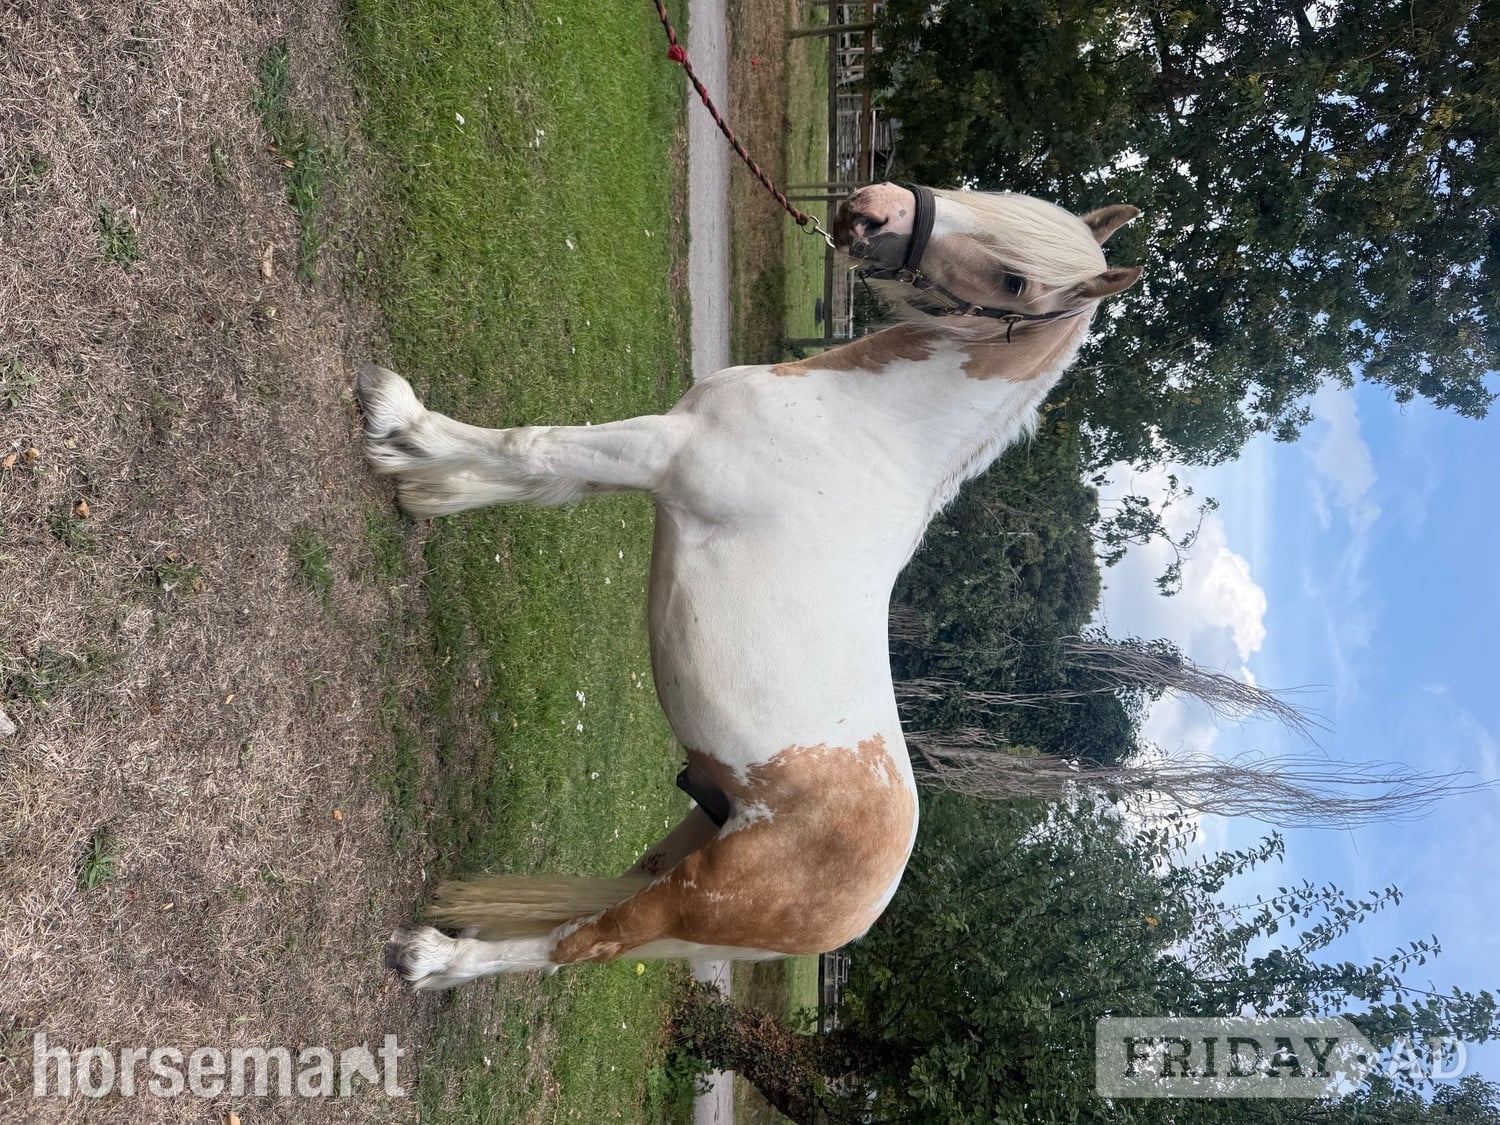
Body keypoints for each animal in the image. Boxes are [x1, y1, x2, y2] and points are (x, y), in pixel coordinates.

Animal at [355, 182, 1141, 989]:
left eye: (1017, 280)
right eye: (996, 196)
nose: (873, 208)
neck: (866, 426)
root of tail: (862, 912)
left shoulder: (660, 451)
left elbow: (530, 447)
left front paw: (395, 419)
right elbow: (538, 478)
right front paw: (426, 486)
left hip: (691, 900)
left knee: (582, 942)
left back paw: (434, 957)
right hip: (692, 837)